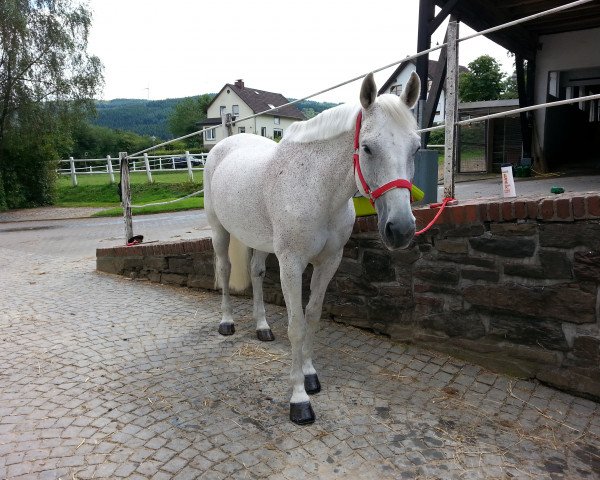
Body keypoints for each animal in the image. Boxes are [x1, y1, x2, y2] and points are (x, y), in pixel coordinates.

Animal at [204, 72, 420, 424]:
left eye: (416, 147)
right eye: (367, 147)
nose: (400, 229)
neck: (317, 189)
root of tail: (222, 145)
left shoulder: (328, 262)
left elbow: (313, 317)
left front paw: (309, 376)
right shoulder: (292, 263)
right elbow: (296, 326)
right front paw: (299, 400)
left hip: (259, 239)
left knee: (256, 272)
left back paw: (262, 327)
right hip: (219, 230)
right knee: (224, 269)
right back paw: (226, 323)